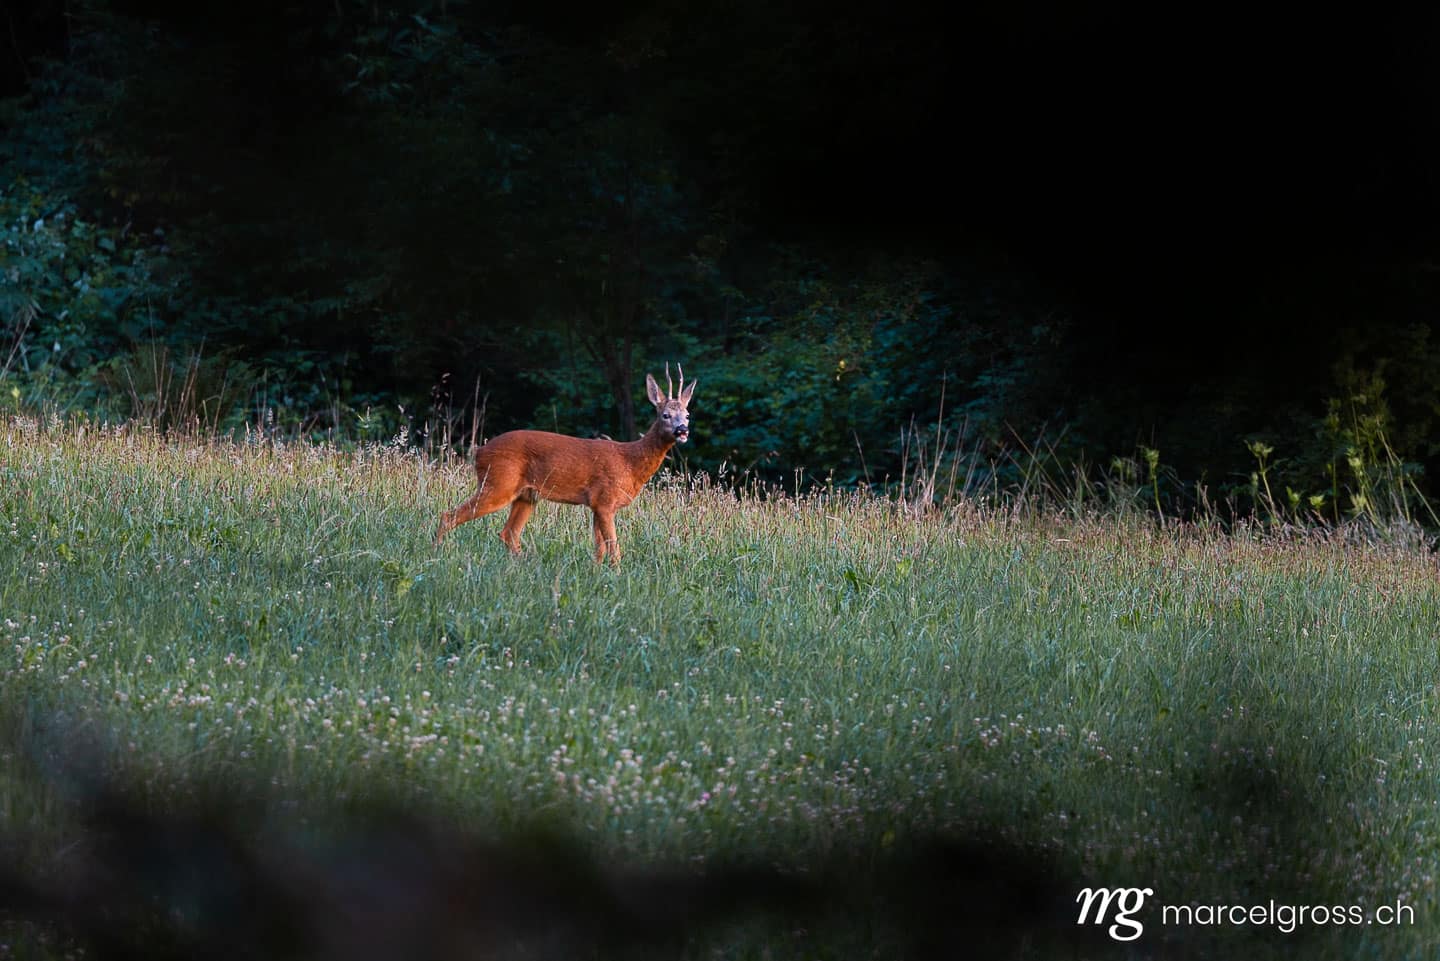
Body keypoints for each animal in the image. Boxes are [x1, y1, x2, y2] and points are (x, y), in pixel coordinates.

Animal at [433, 365, 696, 563]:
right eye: (665, 415)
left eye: (687, 415)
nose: (682, 430)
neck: (630, 462)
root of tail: (479, 452)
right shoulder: (605, 500)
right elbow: (613, 547)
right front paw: (618, 573)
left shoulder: (596, 504)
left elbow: (599, 548)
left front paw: (598, 573)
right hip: (498, 483)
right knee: (450, 516)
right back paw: (439, 553)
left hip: (526, 495)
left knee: (509, 533)